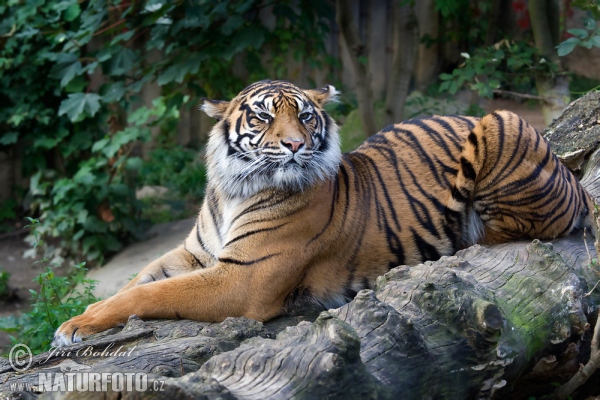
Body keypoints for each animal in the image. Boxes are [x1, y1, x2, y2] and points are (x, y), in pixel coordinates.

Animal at [51, 79, 596, 346]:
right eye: (263, 117)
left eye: (306, 116)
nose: (295, 145)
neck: (234, 189)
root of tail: (570, 176)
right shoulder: (194, 255)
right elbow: (138, 282)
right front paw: (78, 320)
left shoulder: (242, 277)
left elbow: (151, 294)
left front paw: (72, 328)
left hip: (499, 120)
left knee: (516, 228)